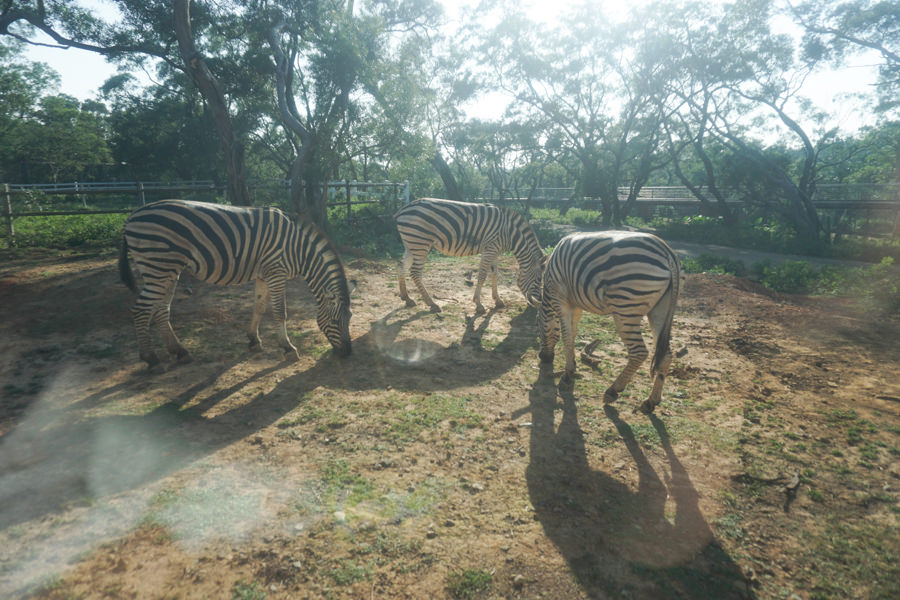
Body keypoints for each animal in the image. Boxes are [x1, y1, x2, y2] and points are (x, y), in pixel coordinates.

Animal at [118, 200, 356, 370]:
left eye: (350, 318)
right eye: (335, 321)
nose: (348, 353)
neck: (299, 250)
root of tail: (131, 216)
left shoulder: (264, 274)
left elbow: (259, 307)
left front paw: (254, 341)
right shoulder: (276, 271)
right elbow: (280, 312)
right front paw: (288, 348)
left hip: (168, 271)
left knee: (160, 310)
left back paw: (179, 352)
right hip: (158, 266)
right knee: (140, 310)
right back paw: (151, 358)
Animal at [396, 198, 548, 314]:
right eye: (539, 279)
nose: (540, 302)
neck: (509, 233)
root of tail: (404, 208)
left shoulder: (495, 252)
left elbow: (495, 274)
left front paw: (498, 300)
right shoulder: (489, 249)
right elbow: (482, 276)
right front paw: (479, 305)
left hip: (411, 244)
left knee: (401, 266)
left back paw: (407, 298)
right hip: (420, 243)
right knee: (415, 272)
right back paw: (432, 304)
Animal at [536, 230, 680, 412]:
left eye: (538, 326)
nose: (543, 357)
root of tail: (667, 252)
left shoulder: (561, 300)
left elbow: (566, 337)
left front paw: (567, 375)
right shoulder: (576, 304)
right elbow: (573, 334)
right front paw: (572, 366)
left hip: (626, 306)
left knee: (639, 352)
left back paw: (613, 391)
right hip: (660, 309)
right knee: (666, 355)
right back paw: (651, 401)